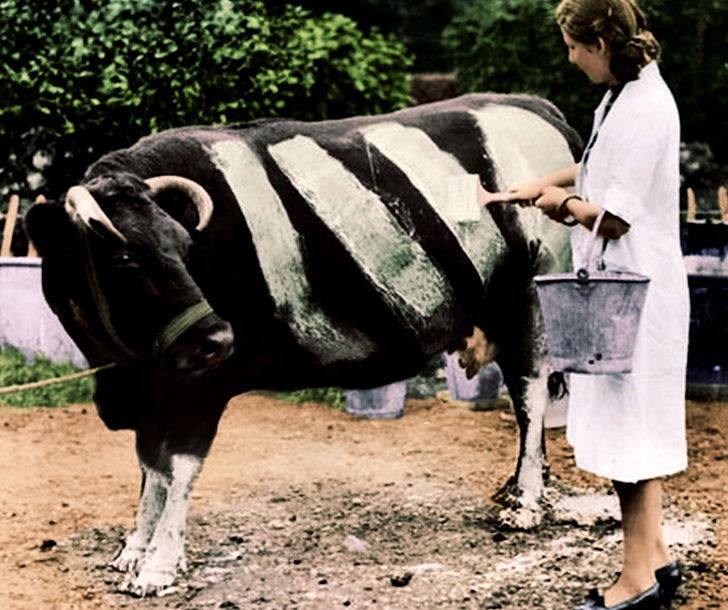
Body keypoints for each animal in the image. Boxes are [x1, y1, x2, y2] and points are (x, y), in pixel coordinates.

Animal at [24, 95, 580, 592]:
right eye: (123, 258)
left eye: (183, 246)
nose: (220, 336)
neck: (121, 371)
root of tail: (537, 106)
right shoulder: (152, 389)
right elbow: (148, 468)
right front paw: (134, 549)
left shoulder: (199, 386)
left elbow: (178, 468)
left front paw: (158, 566)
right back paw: (522, 489)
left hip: (529, 297)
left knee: (529, 391)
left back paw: (527, 503)